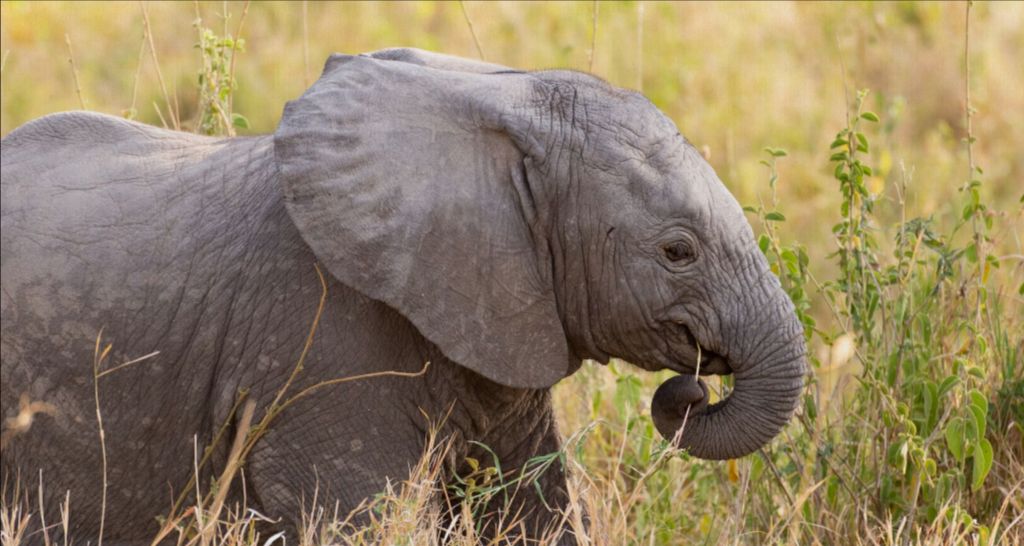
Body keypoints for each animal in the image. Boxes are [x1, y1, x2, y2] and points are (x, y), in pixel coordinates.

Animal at [2, 48, 806, 540]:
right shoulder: (321, 341)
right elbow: (354, 518)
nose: (690, 390)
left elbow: (528, 512)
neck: (500, 105)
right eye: (678, 252)